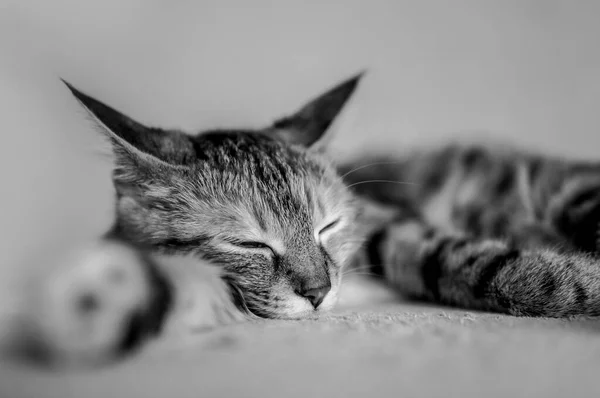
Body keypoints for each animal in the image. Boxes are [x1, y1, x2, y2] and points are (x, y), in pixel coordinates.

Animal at [9, 74, 600, 366]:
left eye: (328, 228)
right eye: (250, 245)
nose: (318, 293)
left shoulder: (387, 224)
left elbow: (470, 261)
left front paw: (576, 284)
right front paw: (95, 298)